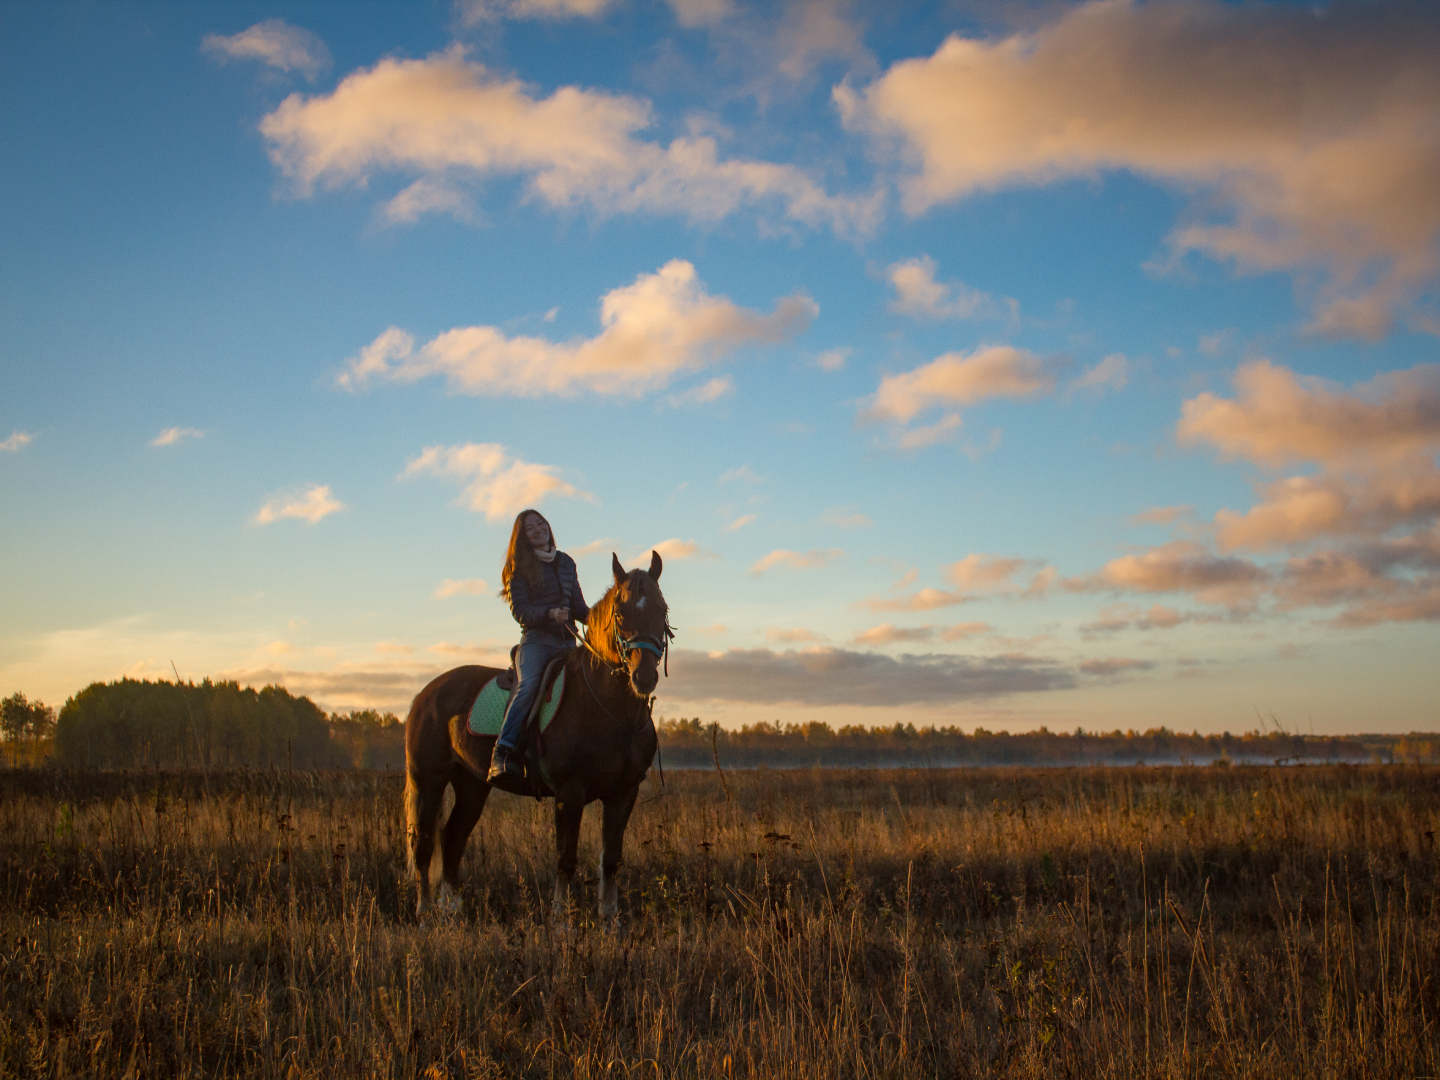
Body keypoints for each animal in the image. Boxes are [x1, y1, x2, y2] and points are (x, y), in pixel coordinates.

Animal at [403, 552, 671, 915]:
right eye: (620, 613)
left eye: (662, 610)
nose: (643, 677)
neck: (616, 713)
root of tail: (426, 693)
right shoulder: (569, 793)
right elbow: (565, 861)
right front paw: (560, 918)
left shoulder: (623, 792)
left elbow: (611, 861)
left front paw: (609, 919)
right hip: (427, 780)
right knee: (424, 843)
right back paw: (425, 912)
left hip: (472, 784)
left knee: (453, 837)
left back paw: (452, 909)